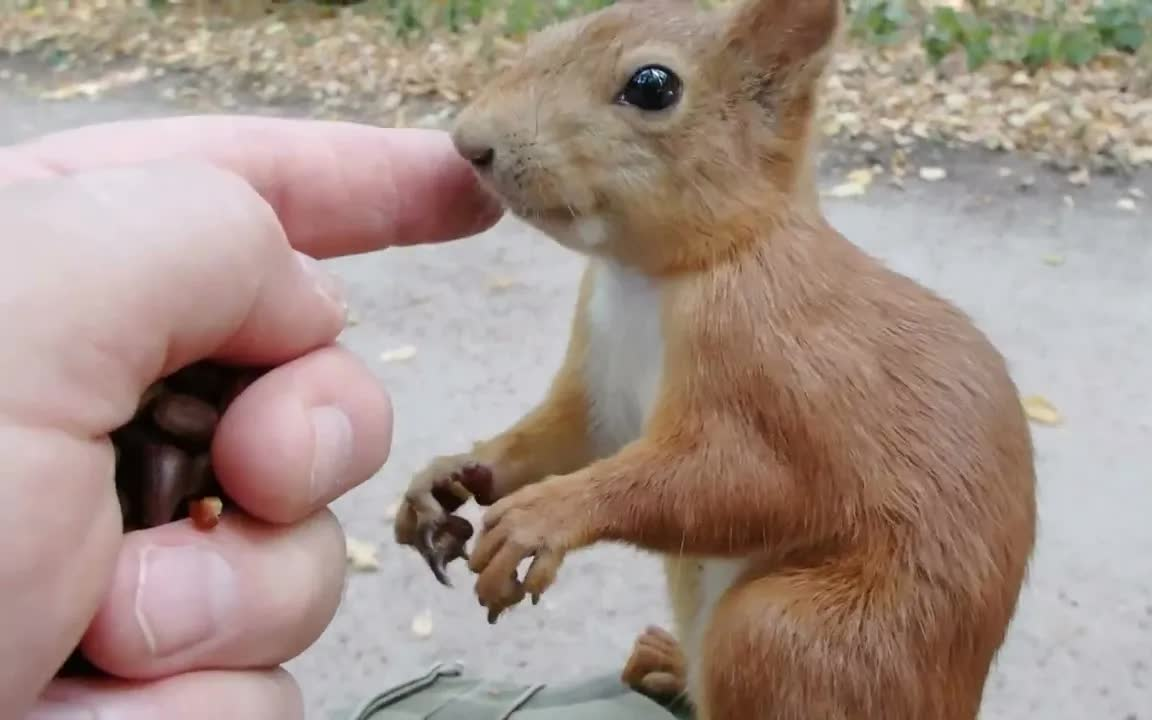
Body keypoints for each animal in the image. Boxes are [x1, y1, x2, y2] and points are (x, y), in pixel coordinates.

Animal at [393, 0, 1036, 714]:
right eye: (545, 35)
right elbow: (567, 437)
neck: (652, 278)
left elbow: (745, 482)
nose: (468, 143)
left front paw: (545, 516)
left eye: (653, 86)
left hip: (797, 635)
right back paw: (668, 662)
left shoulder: (784, 365)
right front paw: (450, 474)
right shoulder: (600, 381)